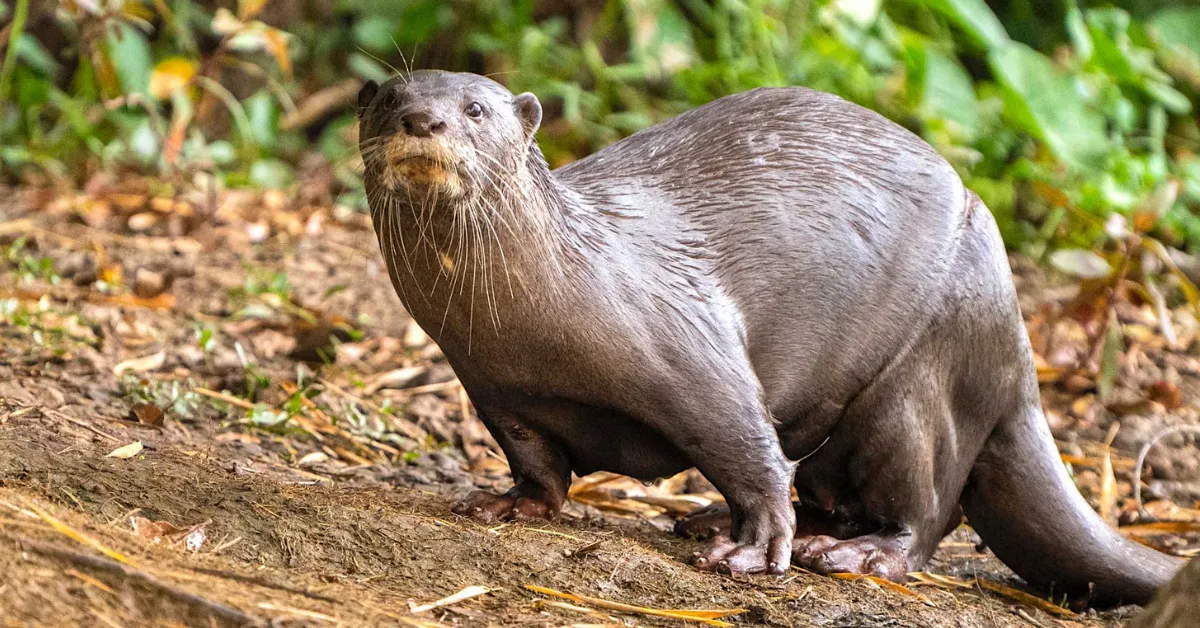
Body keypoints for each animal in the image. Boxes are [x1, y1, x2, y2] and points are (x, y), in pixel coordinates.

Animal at [356, 70, 1181, 605]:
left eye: (475, 108)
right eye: (390, 98)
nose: (422, 120)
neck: (531, 320)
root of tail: (1019, 354)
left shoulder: (694, 346)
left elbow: (746, 446)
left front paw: (753, 551)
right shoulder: (495, 389)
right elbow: (537, 465)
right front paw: (506, 505)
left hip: (926, 365)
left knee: (926, 509)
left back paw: (853, 552)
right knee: (832, 485)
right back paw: (716, 521)